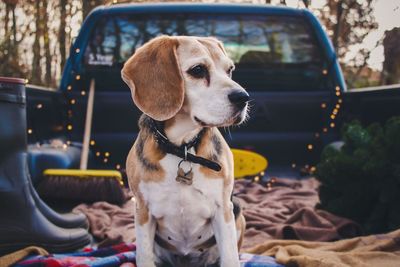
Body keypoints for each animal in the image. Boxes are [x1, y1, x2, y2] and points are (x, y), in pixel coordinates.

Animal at [120, 36, 248, 267]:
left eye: (229, 70)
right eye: (198, 70)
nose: (244, 97)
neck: (182, 148)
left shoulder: (223, 210)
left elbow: (230, 257)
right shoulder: (142, 211)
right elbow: (144, 257)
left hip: (237, 210)